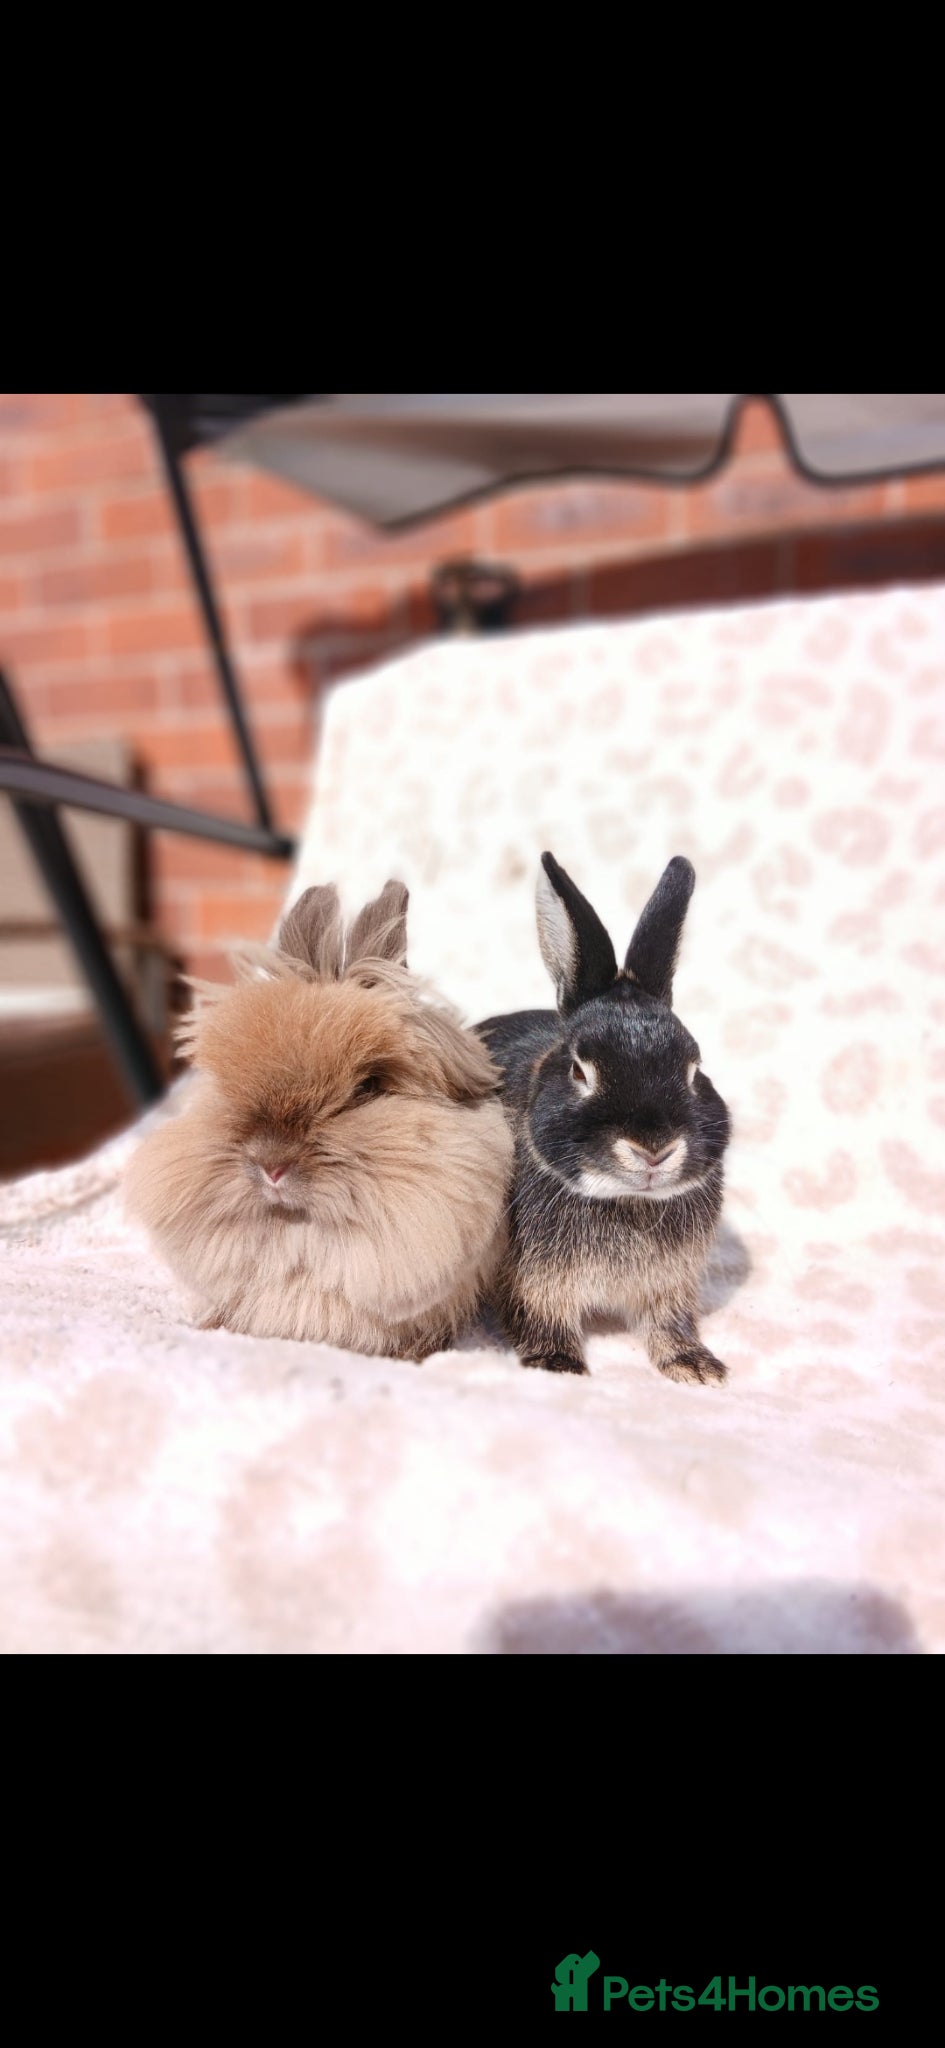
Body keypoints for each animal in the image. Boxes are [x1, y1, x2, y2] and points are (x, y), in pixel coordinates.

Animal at [477, 851, 731, 1383]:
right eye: (579, 1070)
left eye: (694, 1069)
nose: (653, 1150)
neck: (626, 1198)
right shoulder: (533, 1281)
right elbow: (542, 1316)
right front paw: (559, 1366)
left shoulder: (670, 1284)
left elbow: (669, 1322)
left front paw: (695, 1367)